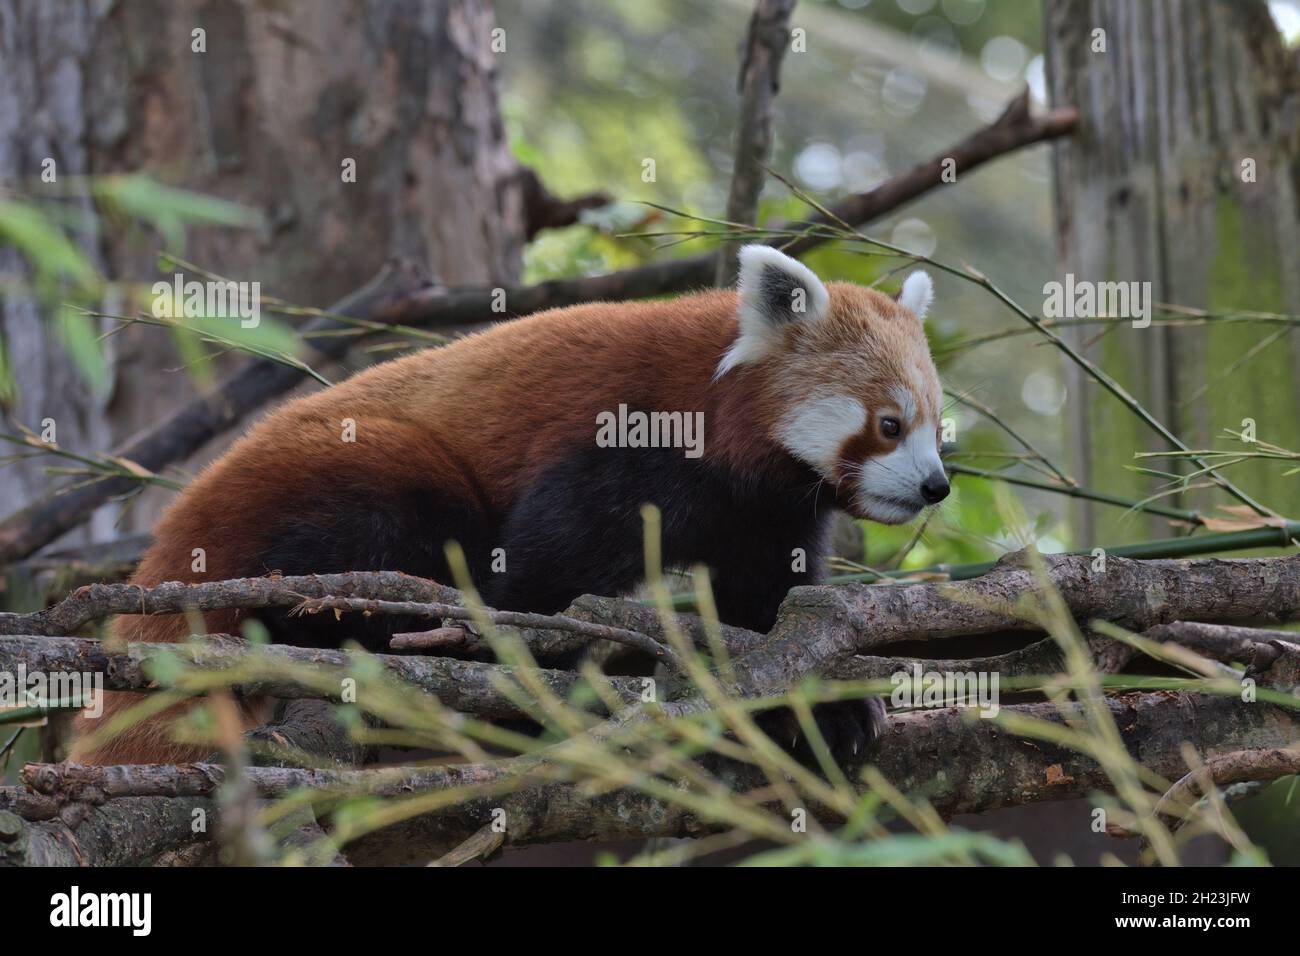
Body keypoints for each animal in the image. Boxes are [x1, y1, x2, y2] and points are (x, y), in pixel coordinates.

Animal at [71, 248, 946, 770]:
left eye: (938, 427)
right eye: (889, 424)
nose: (936, 487)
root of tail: (181, 526)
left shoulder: (764, 511)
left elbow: (768, 609)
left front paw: (825, 707)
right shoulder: (617, 449)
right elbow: (532, 581)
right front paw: (535, 680)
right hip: (346, 475)